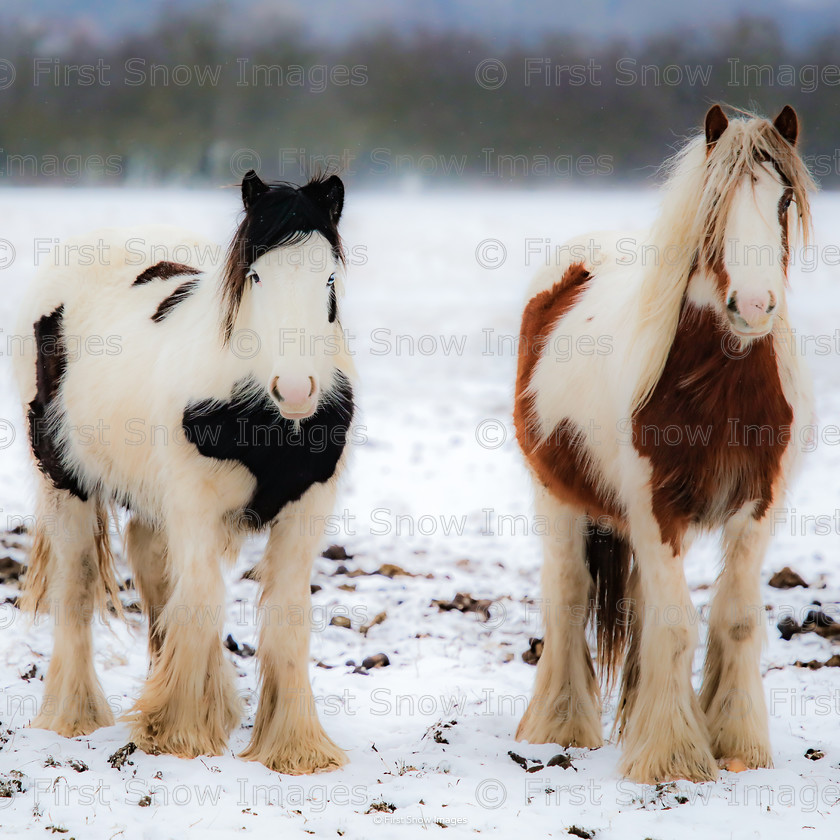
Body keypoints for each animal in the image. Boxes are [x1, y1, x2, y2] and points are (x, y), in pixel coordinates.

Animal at [516, 108, 816, 784]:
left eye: (783, 199)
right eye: (714, 203)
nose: (754, 305)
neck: (721, 387)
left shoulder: (756, 509)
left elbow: (734, 620)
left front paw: (733, 742)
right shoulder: (658, 510)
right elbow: (677, 627)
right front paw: (673, 757)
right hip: (558, 498)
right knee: (569, 597)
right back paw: (562, 727)